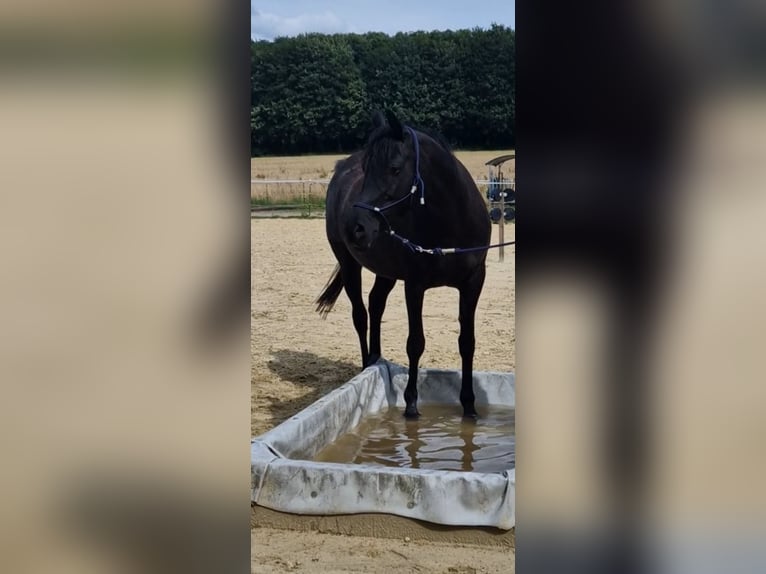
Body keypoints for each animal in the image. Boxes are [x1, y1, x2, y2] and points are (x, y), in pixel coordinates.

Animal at [316, 110, 492, 420]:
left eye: (395, 169)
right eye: (367, 168)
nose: (355, 228)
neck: (452, 224)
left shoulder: (473, 282)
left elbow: (467, 342)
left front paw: (469, 406)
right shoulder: (415, 285)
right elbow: (415, 343)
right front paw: (411, 405)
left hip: (385, 272)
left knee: (375, 304)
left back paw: (376, 359)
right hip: (349, 265)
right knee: (360, 315)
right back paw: (366, 364)